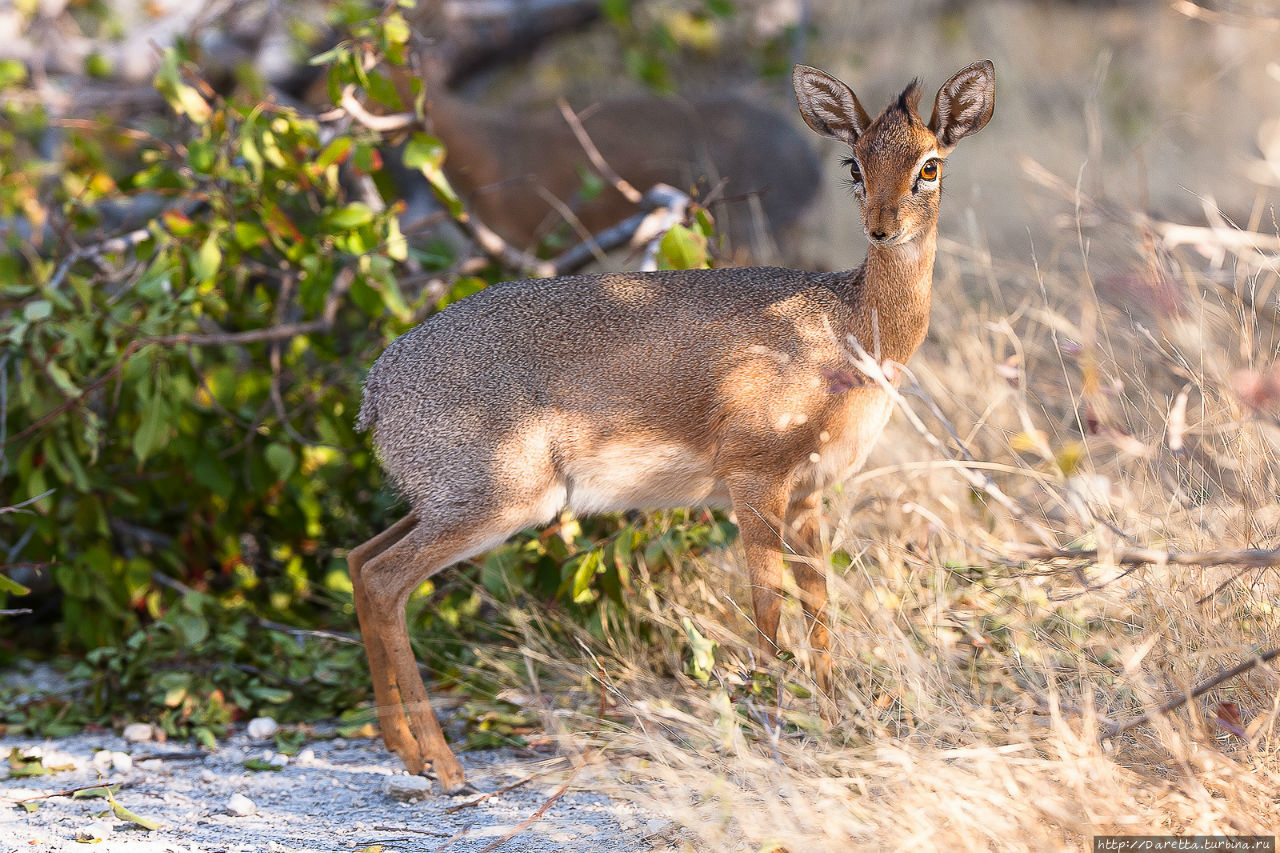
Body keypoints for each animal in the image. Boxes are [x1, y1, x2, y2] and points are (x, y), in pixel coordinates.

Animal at [350, 61, 998, 788]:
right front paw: (777, 730)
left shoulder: (808, 493)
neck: (849, 325)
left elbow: (819, 608)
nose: (881, 227)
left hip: (447, 503)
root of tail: (377, 388)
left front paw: (834, 725)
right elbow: (768, 608)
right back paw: (441, 762)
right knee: (384, 579)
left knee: (360, 560)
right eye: (854, 162)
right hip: (499, 502)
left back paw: (405, 749)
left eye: (930, 165)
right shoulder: (754, 481)